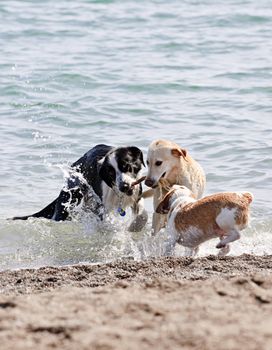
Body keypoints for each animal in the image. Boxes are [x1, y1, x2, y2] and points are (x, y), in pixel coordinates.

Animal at [12, 144, 149, 231]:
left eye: (127, 166)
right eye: (111, 173)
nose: (124, 186)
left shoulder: (136, 194)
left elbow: (143, 214)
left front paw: (135, 227)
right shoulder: (104, 206)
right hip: (70, 196)